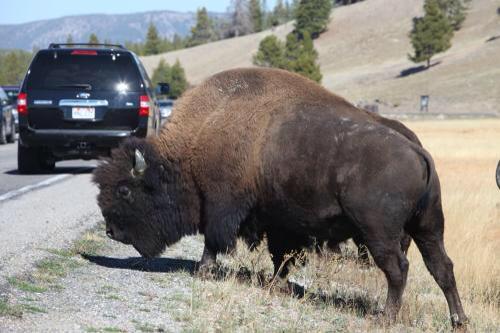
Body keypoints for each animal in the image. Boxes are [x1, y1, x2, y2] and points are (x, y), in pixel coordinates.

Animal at [94, 67, 468, 326]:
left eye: (125, 190)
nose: (111, 231)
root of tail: (418, 151)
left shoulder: (222, 206)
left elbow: (214, 241)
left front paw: (203, 271)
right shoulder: (280, 222)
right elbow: (282, 257)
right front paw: (279, 285)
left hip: (380, 233)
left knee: (398, 268)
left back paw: (385, 317)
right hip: (428, 227)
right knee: (442, 266)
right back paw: (459, 320)